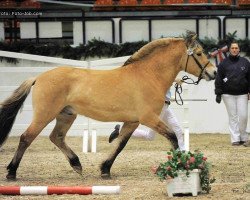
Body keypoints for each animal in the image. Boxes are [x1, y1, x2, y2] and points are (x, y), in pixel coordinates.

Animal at [0, 31, 216, 180]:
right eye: (199, 53)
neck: (148, 75)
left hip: (66, 115)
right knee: (26, 138)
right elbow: (172, 137)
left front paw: (105, 169)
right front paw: (181, 165)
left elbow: (120, 144)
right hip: (45, 114)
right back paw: (11, 172)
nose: (213, 73)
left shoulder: (133, 122)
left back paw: (76, 164)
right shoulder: (149, 118)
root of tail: (38, 77)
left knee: (57, 137)